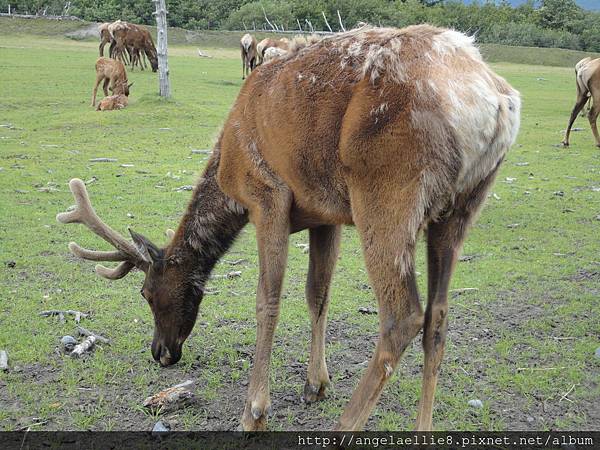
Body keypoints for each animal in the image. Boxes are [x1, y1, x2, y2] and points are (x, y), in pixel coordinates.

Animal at [61, 25, 520, 432]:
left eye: (147, 293)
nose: (160, 352)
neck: (226, 168)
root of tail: (493, 102)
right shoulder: (326, 215)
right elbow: (318, 294)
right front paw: (316, 385)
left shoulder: (266, 197)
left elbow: (268, 301)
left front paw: (255, 411)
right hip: (459, 209)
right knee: (438, 317)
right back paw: (422, 429)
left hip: (387, 192)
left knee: (403, 316)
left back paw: (343, 427)